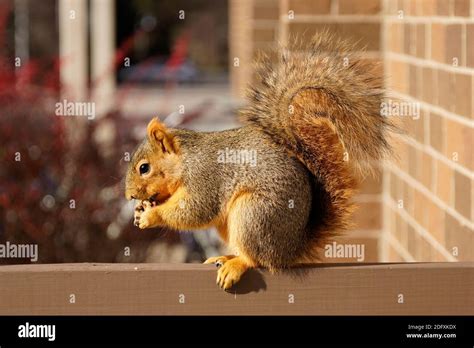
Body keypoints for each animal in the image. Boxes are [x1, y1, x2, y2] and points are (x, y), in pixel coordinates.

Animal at [125, 32, 392, 290]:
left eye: (144, 168)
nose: (129, 196)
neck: (185, 161)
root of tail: (290, 249)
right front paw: (141, 210)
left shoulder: (205, 178)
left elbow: (195, 211)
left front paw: (151, 216)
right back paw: (224, 257)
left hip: (254, 213)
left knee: (257, 259)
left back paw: (236, 264)